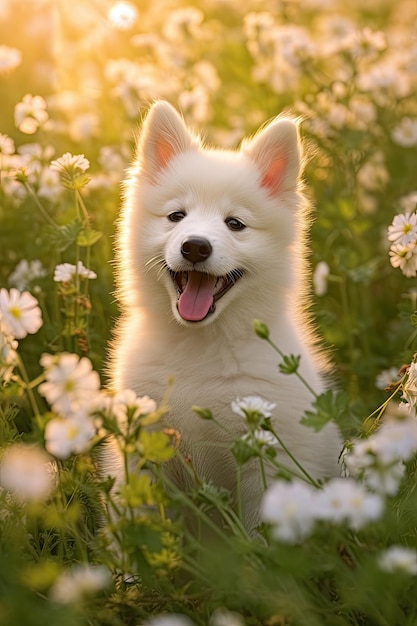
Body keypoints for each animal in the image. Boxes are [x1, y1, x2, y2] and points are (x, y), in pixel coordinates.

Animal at [104, 102, 342, 532]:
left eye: (235, 224)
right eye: (176, 216)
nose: (196, 246)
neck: (200, 347)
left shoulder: (270, 460)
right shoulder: (145, 454)